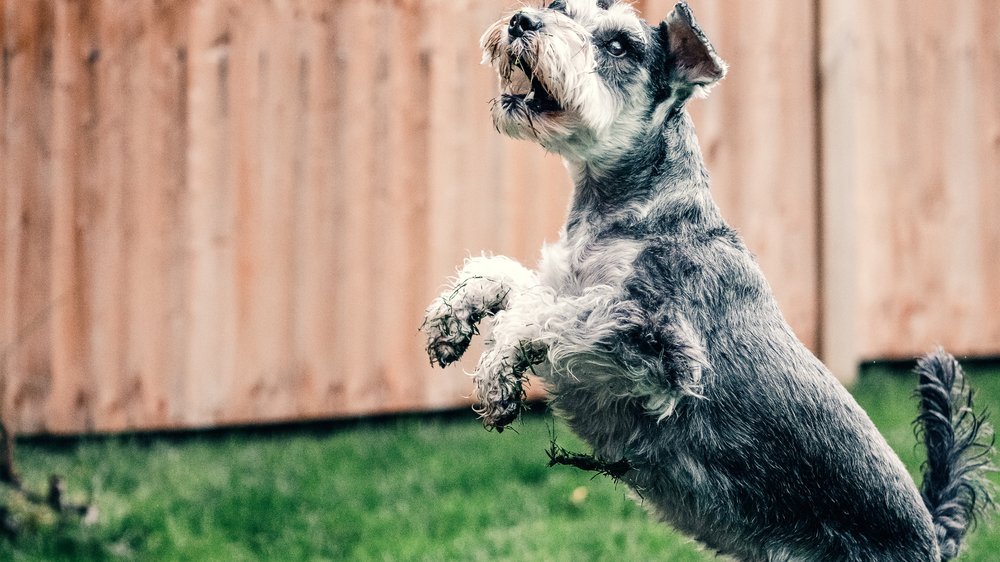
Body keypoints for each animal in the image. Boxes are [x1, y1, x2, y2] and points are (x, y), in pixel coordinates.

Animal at [420, 2, 992, 556]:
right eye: (558, 6)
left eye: (619, 45)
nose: (522, 21)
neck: (632, 208)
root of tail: (930, 536)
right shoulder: (571, 283)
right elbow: (513, 280)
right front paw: (451, 318)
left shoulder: (661, 345)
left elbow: (548, 316)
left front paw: (496, 370)